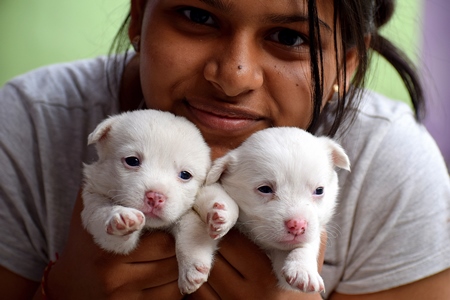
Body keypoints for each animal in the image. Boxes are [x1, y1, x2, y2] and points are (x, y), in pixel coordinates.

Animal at [81, 108, 224, 292]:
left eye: (185, 175)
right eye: (132, 160)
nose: (155, 196)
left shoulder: (185, 214)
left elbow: (191, 231)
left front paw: (192, 267)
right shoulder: (93, 200)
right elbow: (102, 215)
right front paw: (120, 217)